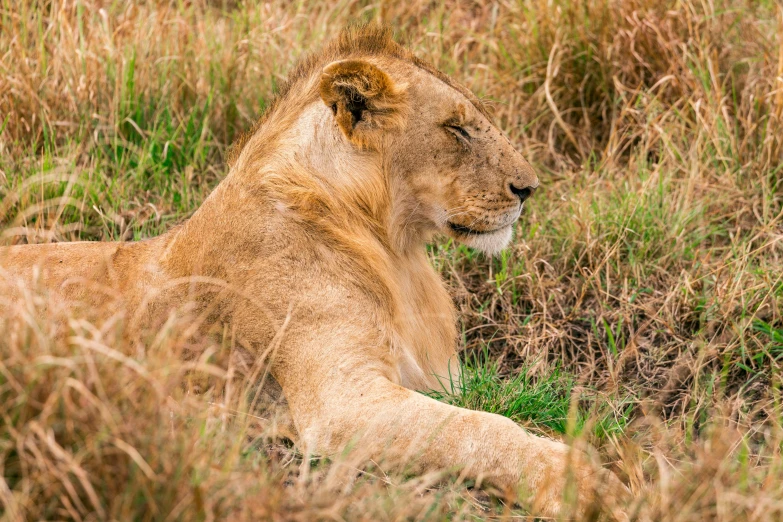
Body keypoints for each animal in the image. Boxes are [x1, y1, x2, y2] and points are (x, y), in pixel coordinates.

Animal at [0, 24, 632, 516]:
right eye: (456, 129)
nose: (529, 189)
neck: (395, 250)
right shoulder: (340, 402)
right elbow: (481, 428)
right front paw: (586, 485)